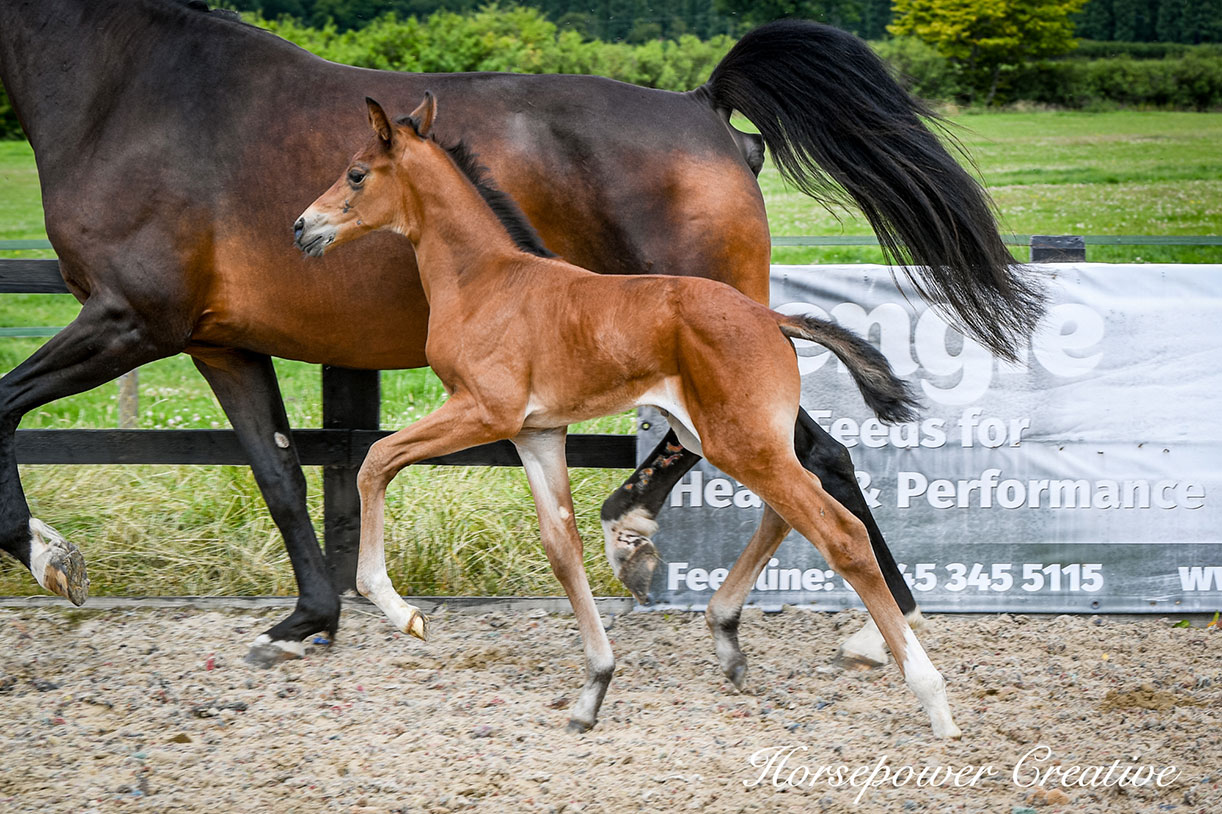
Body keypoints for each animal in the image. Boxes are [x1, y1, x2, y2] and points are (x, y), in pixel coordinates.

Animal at [298, 95, 962, 733]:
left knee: (839, 533)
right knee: (787, 512)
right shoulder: (537, 434)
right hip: (725, 439)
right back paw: (727, 637)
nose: (303, 226)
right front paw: (593, 690)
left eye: (356, 173)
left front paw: (400, 611)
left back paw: (932, 698)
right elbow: (561, 547)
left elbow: (376, 459)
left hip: (740, 442)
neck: (485, 282)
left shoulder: (484, 412)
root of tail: (771, 317)